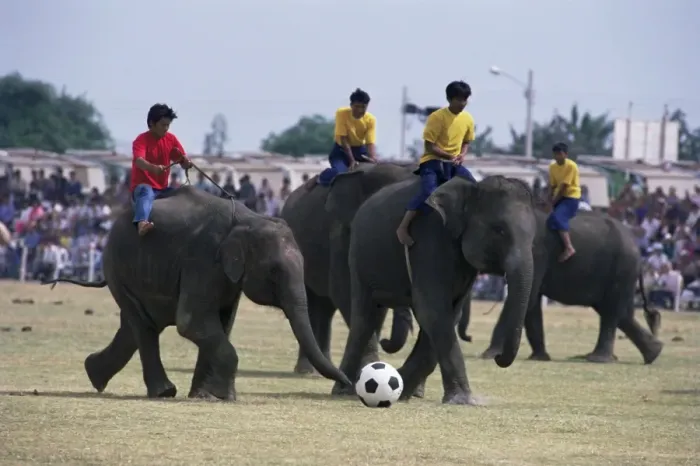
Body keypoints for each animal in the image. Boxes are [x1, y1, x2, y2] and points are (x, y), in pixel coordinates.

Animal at [44, 186, 350, 400]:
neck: (249, 219)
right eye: (274, 272)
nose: (349, 383)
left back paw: (94, 375)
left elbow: (221, 323)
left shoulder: (225, 275)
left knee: (134, 324)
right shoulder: (203, 259)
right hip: (117, 267)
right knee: (143, 326)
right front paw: (223, 397)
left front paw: (206, 396)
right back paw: (163, 392)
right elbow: (192, 322)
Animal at [330, 174, 538, 404]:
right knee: (364, 319)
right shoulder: (427, 240)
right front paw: (463, 400)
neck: (473, 188)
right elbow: (433, 310)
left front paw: (403, 388)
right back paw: (343, 390)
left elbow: (447, 314)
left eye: (533, 237)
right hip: (359, 259)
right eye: (499, 230)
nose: (498, 357)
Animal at [388, 209, 664, 366]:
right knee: (619, 312)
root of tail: (639, 249)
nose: (470, 338)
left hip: (621, 268)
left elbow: (527, 298)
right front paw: (538, 358)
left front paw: (490, 355)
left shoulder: (536, 253)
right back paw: (653, 354)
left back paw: (598, 359)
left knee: (611, 313)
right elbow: (531, 304)